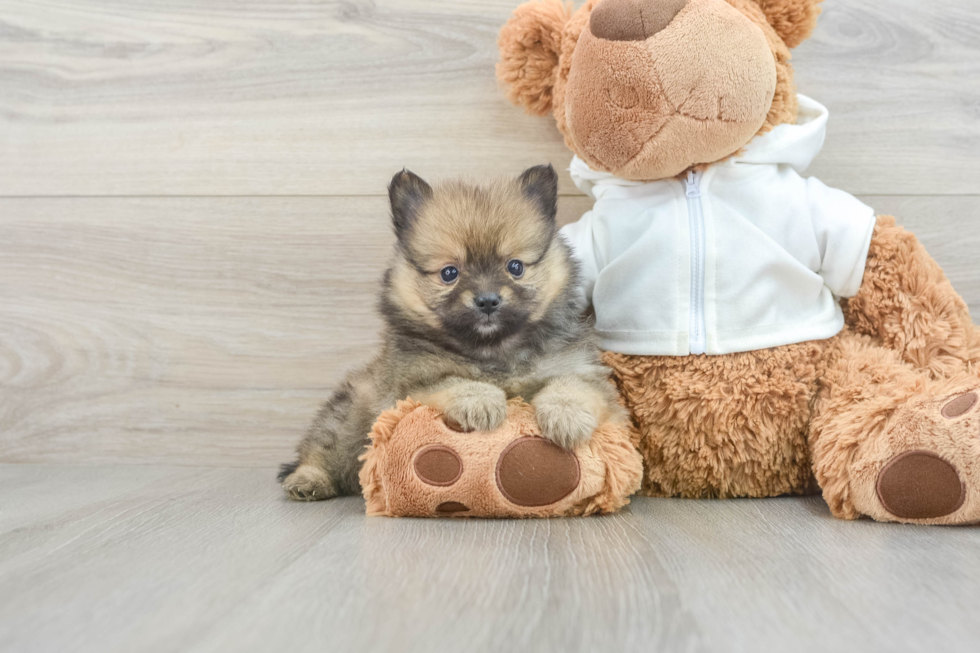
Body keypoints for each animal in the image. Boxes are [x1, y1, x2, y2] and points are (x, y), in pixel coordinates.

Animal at [280, 163, 624, 500]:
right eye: (449, 273)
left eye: (515, 267)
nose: (487, 300)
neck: (492, 350)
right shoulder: (410, 386)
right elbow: (454, 381)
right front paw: (483, 401)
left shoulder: (580, 370)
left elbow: (573, 386)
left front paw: (566, 417)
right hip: (350, 414)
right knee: (323, 449)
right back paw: (308, 479)